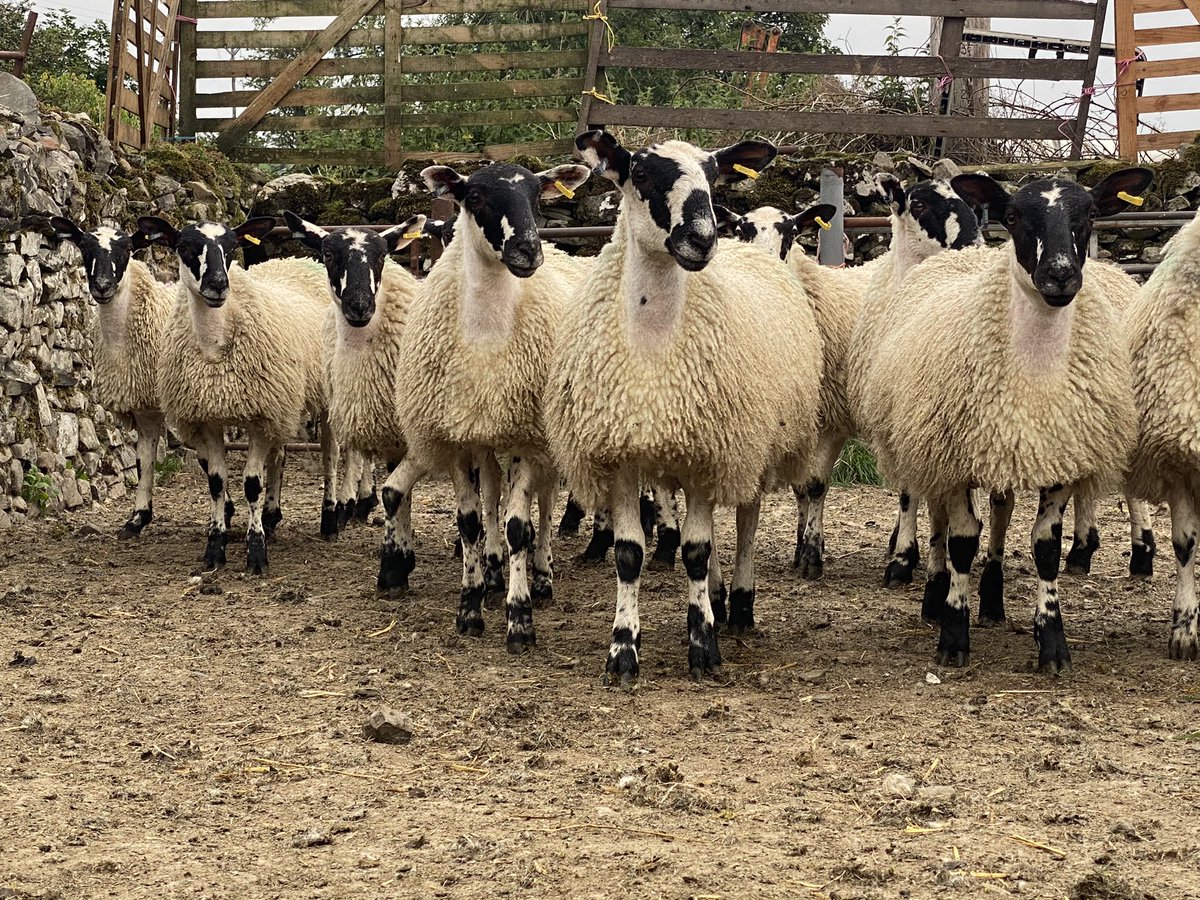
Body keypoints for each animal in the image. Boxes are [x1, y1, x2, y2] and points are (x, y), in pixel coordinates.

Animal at [50, 218, 172, 538]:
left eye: (127, 248)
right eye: (83, 246)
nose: (102, 287)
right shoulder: (144, 406)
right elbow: (144, 460)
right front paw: (137, 519)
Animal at [137, 216, 336, 574]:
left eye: (231, 247)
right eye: (184, 246)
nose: (218, 284)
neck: (215, 347)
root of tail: (297, 260)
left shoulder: (259, 418)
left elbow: (251, 484)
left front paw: (256, 553)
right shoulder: (209, 419)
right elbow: (217, 482)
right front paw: (215, 548)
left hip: (325, 394)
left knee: (331, 454)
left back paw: (331, 517)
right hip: (282, 403)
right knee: (279, 456)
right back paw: (271, 516)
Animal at [373, 161, 593, 653]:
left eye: (536, 195)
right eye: (474, 197)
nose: (528, 251)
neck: (487, 335)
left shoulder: (530, 438)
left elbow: (519, 527)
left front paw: (520, 619)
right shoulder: (456, 438)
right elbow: (471, 521)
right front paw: (470, 606)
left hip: (540, 440)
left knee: (544, 506)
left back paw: (542, 575)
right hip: (485, 434)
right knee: (493, 495)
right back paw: (492, 572)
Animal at [546, 132, 824, 683]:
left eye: (713, 176)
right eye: (641, 173)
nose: (702, 238)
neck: (655, 340)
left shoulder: (709, 453)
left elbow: (697, 551)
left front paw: (704, 648)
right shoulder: (623, 456)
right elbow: (629, 555)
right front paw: (623, 650)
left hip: (749, 448)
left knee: (743, 523)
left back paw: (738, 605)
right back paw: (716, 599)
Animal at [858, 168, 1151, 673]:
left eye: (1092, 213)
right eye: (1012, 216)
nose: (1060, 274)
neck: (1036, 370)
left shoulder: (1058, 455)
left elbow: (1044, 547)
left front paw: (1052, 642)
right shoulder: (952, 456)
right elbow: (960, 541)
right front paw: (953, 633)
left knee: (999, 512)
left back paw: (996, 597)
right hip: (927, 440)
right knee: (937, 515)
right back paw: (935, 592)